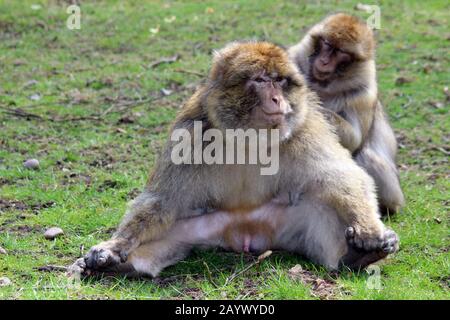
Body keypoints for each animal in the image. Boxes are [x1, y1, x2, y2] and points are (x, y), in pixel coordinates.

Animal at [68, 42, 400, 278]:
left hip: (289, 223)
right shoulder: (190, 131)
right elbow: (163, 200)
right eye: (261, 80)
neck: (248, 136)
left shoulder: (304, 126)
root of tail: (246, 235)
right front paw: (114, 247)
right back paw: (119, 265)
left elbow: (340, 177)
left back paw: (357, 256)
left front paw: (369, 231)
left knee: (322, 203)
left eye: (280, 81)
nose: (278, 99)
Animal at [290, 14, 406, 215]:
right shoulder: (294, 59)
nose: (325, 61)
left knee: (365, 156)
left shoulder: (364, 93)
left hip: (394, 193)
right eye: (328, 45)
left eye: (340, 53)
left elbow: (354, 140)